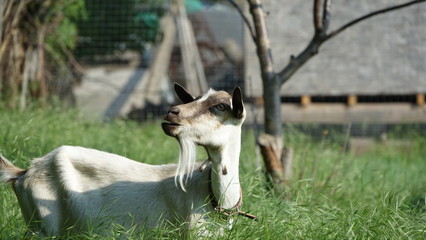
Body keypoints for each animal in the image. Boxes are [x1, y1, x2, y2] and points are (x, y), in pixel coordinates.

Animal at [0, 84, 253, 236]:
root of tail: (24, 172)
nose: (172, 112)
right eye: (197, 98)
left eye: (220, 106)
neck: (217, 199)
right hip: (43, 228)